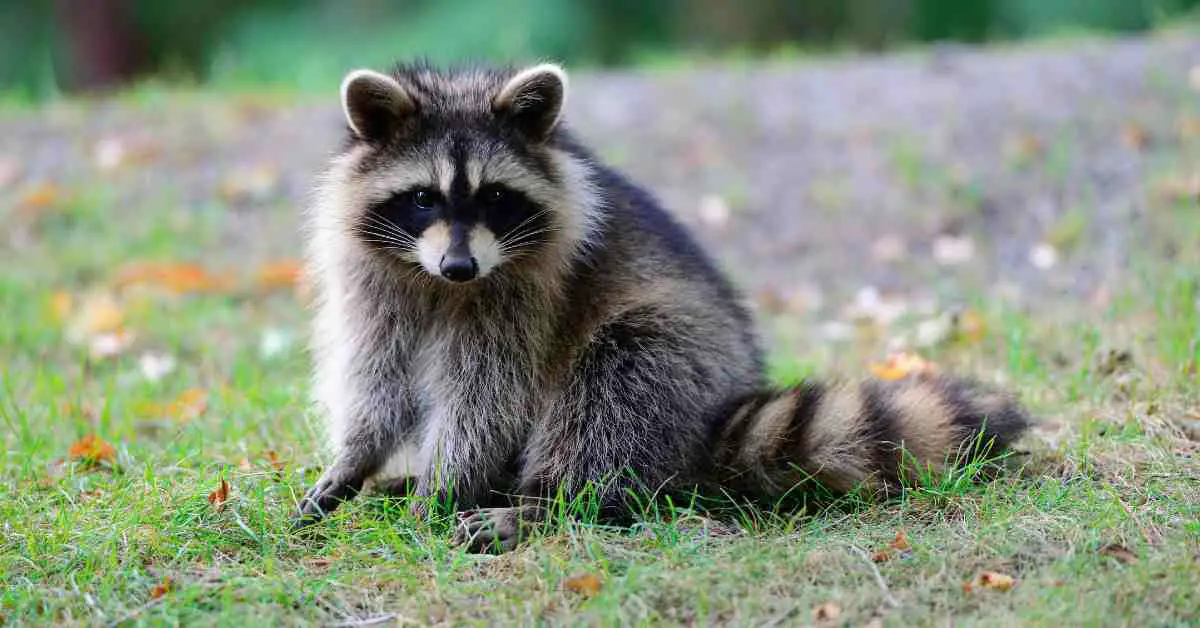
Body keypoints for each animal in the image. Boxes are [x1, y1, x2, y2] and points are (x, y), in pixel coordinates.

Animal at [295, 61, 1031, 552]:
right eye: (423, 198)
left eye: (495, 198)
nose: (459, 266)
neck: (440, 285)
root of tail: (720, 411)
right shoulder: (374, 279)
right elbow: (378, 378)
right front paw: (357, 459)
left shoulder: (526, 293)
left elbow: (487, 397)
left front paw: (446, 486)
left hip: (677, 356)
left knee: (615, 388)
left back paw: (546, 501)